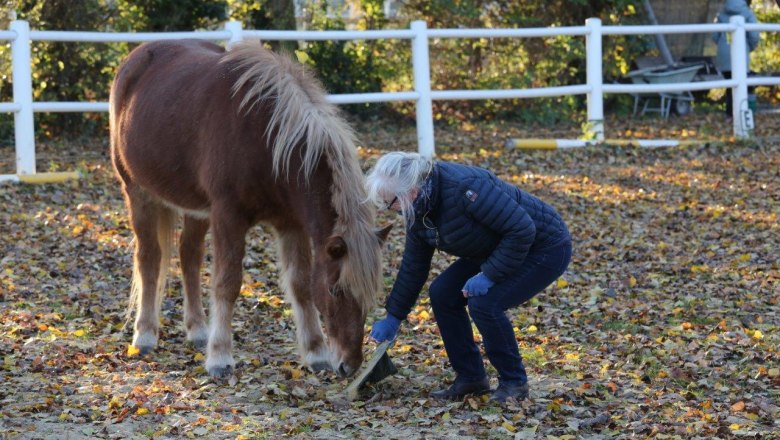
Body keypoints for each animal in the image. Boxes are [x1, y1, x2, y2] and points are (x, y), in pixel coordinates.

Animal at [109, 39, 390, 378]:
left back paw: (198, 330)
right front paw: (220, 357)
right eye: (336, 290)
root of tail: (136, 57)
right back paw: (145, 335)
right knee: (149, 259)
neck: (268, 139)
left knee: (190, 256)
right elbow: (227, 283)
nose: (349, 365)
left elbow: (300, 285)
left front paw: (316, 353)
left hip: (194, 207)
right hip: (138, 193)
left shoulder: (291, 223)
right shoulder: (228, 217)